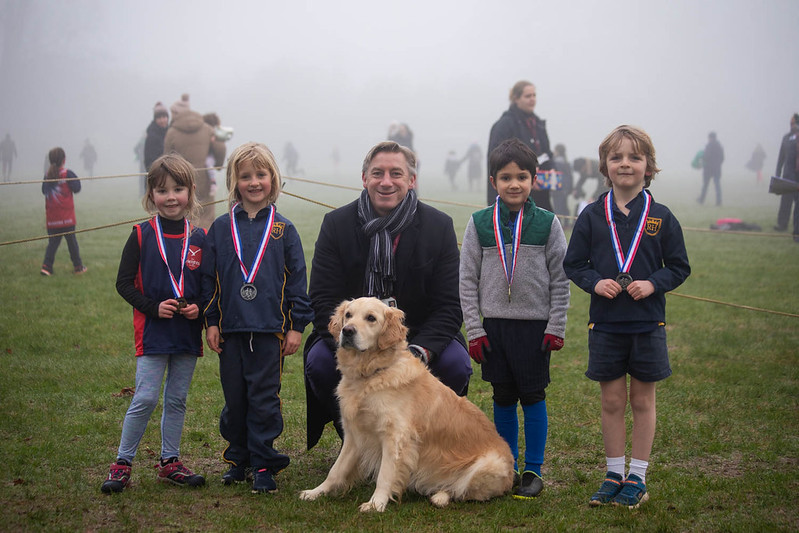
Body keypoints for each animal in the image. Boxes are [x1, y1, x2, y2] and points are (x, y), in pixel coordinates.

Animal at [298, 298, 512, 510]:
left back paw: (440, 497)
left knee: (461, 491)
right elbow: (336, 470)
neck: (371, 374)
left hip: (488, 465)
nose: (347, 330)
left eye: (371, 318)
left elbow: (385, 475)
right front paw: (316, 492)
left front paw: (375, 504)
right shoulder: (354, 434)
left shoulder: (395, 436)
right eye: (348, 315)